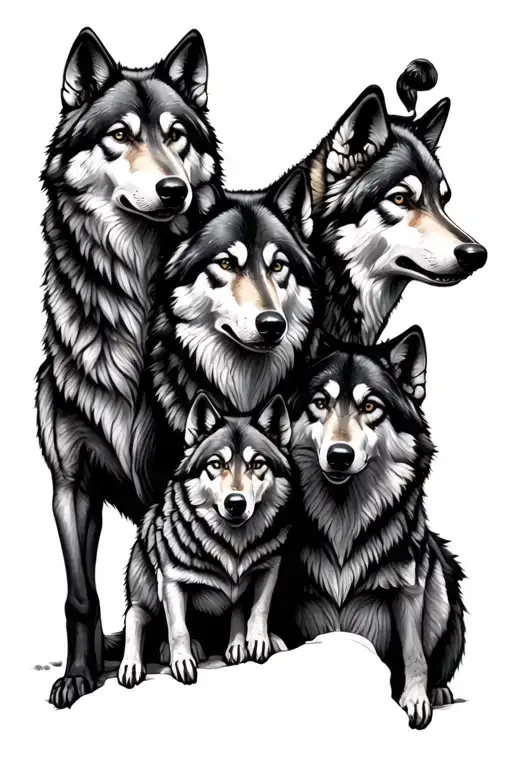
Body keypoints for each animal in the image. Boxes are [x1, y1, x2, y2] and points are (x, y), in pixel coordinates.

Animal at [37, 27, 223, 708]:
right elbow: (81, 597)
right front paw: (79, 676)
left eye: (178, 135)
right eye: (120, 134)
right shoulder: (71, 486)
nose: (175, 191)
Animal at [118, 392, 292, 687]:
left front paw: (255, 642)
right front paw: (182, 662)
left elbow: (258, 609)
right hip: (147, 592)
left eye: (257, 464)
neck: (232, 546)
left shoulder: (271, 566)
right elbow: (178, 629)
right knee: (136, 617)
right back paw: (135, 663)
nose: (236, 503)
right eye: (216, 464)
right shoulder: (172, 581)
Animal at [276, 327, 465, 729]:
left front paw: (414, 700)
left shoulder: (409, 589)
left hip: (440, 577)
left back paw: (438, 691)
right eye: (320, 402)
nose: (339, 456)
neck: (344, 522)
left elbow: (413, 652)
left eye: (370, 407)